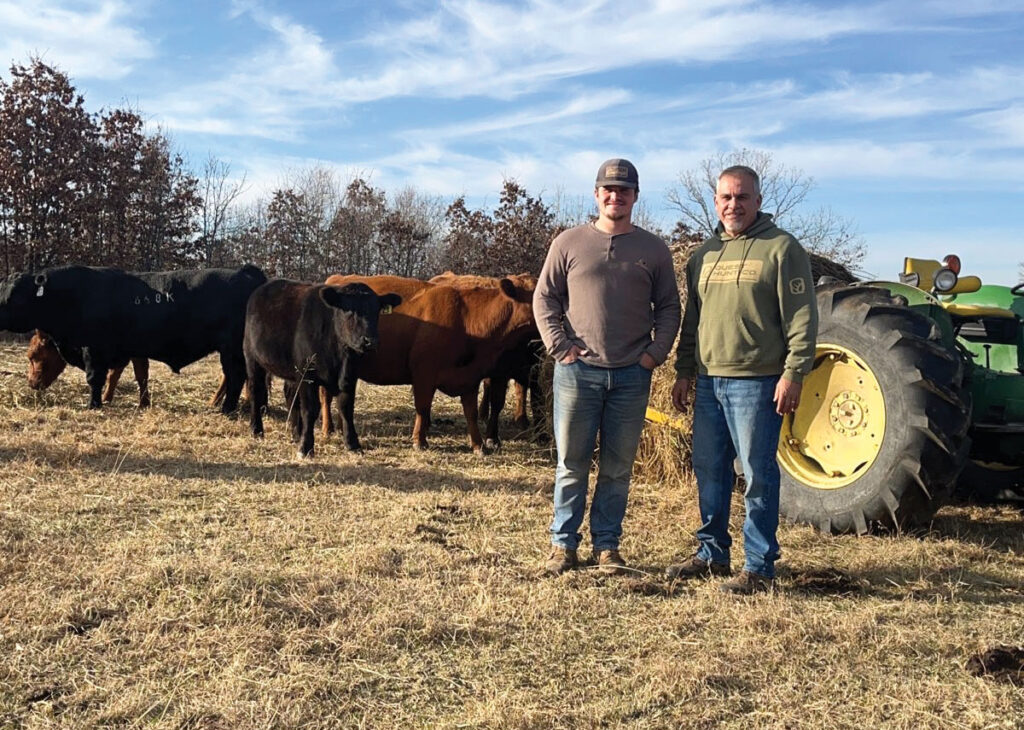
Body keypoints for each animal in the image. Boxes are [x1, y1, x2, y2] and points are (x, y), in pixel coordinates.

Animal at [0, 264, 268, 413]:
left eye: (15, 295)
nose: (32, 384)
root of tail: (246, 272)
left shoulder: (93, 350)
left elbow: (96, 378)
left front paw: (94, 405)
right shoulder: (131, 351)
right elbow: (135, 376)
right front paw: (138, 403)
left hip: (232, 350)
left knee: (236, 377)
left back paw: (226, 409)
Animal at [242, 278, 399, 454]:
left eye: (376, 310)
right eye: (349, 310)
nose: (370, 340)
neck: (340, 357)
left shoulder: (349, 376)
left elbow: (346, 408)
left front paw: (353, 444)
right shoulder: (308, 376)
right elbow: (310, 410)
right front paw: (306, 447)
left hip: (291, 371)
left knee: (290, 395)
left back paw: (296, 433)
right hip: (253, 359)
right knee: (256, 391)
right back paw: (257, 430)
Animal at [323, 274, 540, 454]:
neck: (467, 320)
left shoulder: (470, 377)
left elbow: (471, 412)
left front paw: (479, 446)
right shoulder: (424, 375)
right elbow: (423, 406)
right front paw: (419, 441)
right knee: (325, 395)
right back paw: (328, 429)